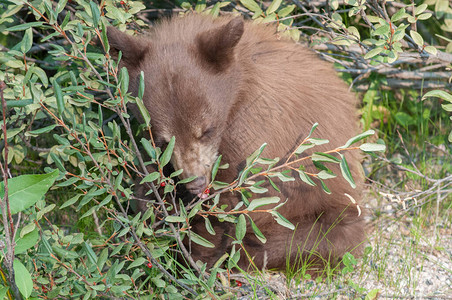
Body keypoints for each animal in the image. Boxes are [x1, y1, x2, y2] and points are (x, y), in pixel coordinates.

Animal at [107, 13, 366, 272]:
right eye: (162, 140)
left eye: (207, 130)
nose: (196, 183)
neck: (238, 89)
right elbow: (150, 176)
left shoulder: (254, 125)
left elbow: (241, 197)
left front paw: (199, 250)